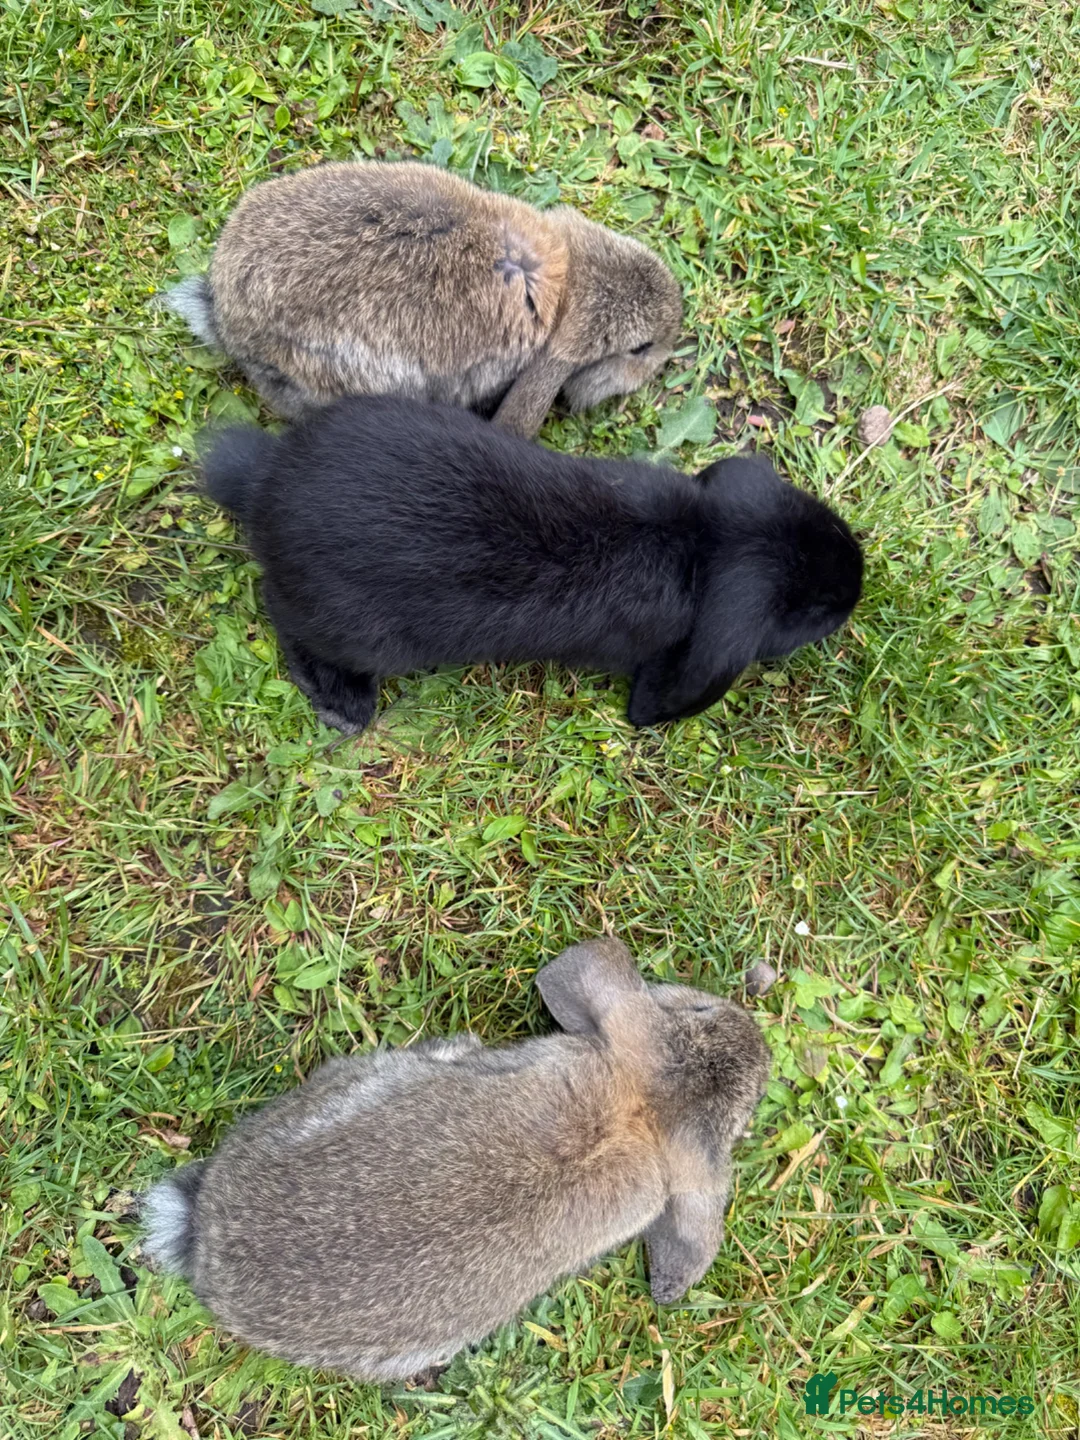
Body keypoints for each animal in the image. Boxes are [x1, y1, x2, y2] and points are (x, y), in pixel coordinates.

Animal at [199, 395, 863, 734]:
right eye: (810, 609)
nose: (856, 582)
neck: (700, 547)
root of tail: (263, 490)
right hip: (359, 633)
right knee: (285, 619)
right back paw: (347, 707)